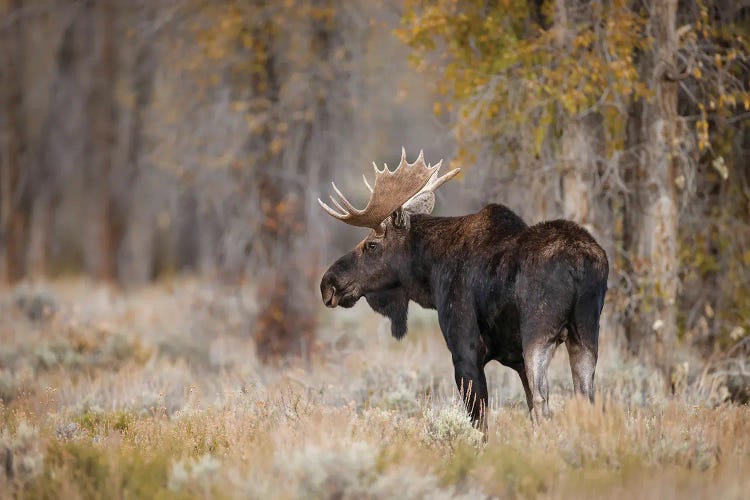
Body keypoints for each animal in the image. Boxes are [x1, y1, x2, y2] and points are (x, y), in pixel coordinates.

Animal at [318, 149, 612, 430]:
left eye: (371, 245)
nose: (328, 284)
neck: (430, 273)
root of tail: (580, 263)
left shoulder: (465, 351)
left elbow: (480, 424)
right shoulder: (515, 359)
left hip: (538, 335)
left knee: (544, 403)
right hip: (585, 334)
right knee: (585, 399)